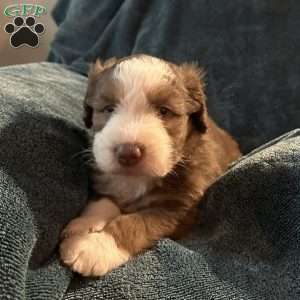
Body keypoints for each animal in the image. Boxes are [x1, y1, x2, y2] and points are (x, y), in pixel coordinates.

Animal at [59, 54, 240, 276]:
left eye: (164, 111)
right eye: (109, 109)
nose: (128, 153)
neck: (136, 179)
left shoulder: (178, 209)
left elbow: (135, 223)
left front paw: (96, 247)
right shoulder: (105, 179)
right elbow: (103, 202)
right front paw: (85, 224)